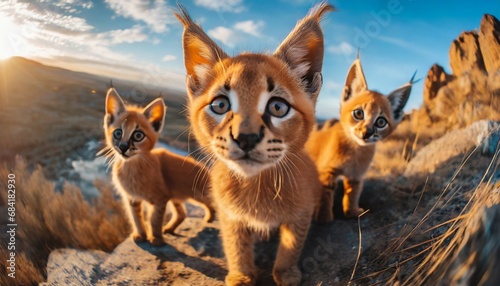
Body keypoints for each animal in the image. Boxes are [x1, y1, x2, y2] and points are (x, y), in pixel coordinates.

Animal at [103, 88, 215, 245]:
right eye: (118, 133)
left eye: (138, 135)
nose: (123, 147)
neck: (132, 165)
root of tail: (203, 167)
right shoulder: (133, 198)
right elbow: (136, 217)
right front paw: (141, 235)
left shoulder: (160, 199)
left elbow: (154, 218)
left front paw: (155, 238)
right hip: (176, 195)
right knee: (182, 213)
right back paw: (169, 228)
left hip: (198, 193)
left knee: (214, 204)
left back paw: (210, 218)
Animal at [174, 1, 334, 284]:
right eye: (220, 105)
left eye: (278, 107)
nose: (246, 138)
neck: (256, 184)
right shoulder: (228, 215)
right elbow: (235, 244)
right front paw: (241, 275)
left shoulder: (301, 213)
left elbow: (292, 244)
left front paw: (286, 273)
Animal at [304, 57, 414, 219]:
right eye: (358, 113)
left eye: (381, 122)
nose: (367, 132)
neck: (355, 149)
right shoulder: (327, 172)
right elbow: (325, 195)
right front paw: (324, 218)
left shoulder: (356, 176)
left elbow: (353, 194)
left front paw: (352, 212)